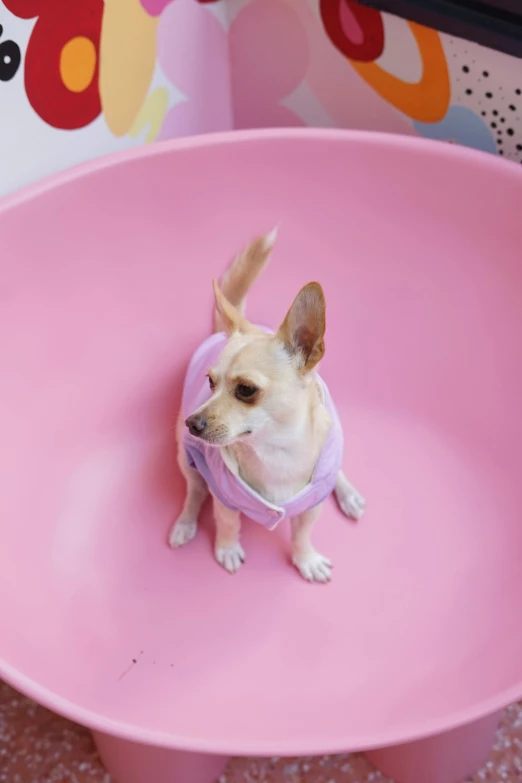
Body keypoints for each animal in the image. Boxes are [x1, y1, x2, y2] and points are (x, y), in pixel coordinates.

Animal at [169, 230, 364, 584]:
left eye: (246, 390)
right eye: (210, 383)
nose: (192, 422)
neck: (277, 450)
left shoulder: (311, 506)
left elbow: (302, 533)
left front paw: (305, 559)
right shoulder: (225, 496)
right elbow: (227, 521)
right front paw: (227, 548)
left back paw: (347, 493)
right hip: (183, 455)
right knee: (194, 490)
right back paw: (186, 522)